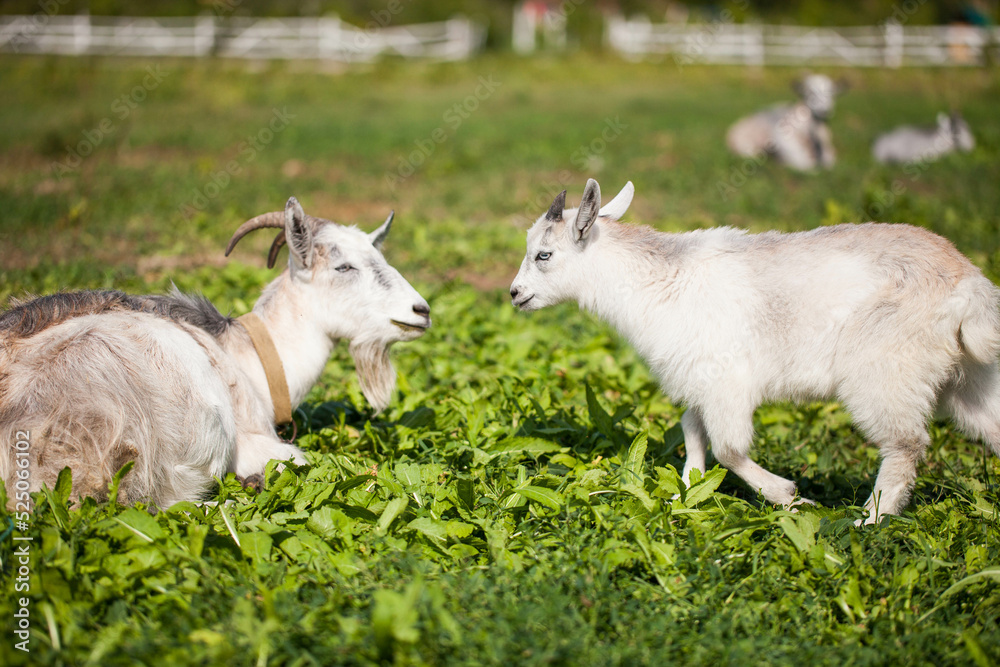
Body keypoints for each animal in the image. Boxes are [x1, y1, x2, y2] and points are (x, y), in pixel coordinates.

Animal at [510, 179, 1000, 524]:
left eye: (544, 255)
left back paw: (871, 518)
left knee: (905, 443)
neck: (659, 281)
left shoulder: (727, 382)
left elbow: (728, 448)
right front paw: (687, 491)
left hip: (885, 369)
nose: (515, 294)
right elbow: (692, 430)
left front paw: (788, 497)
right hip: (967, 377)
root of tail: (967, 283)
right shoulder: (698, 379)